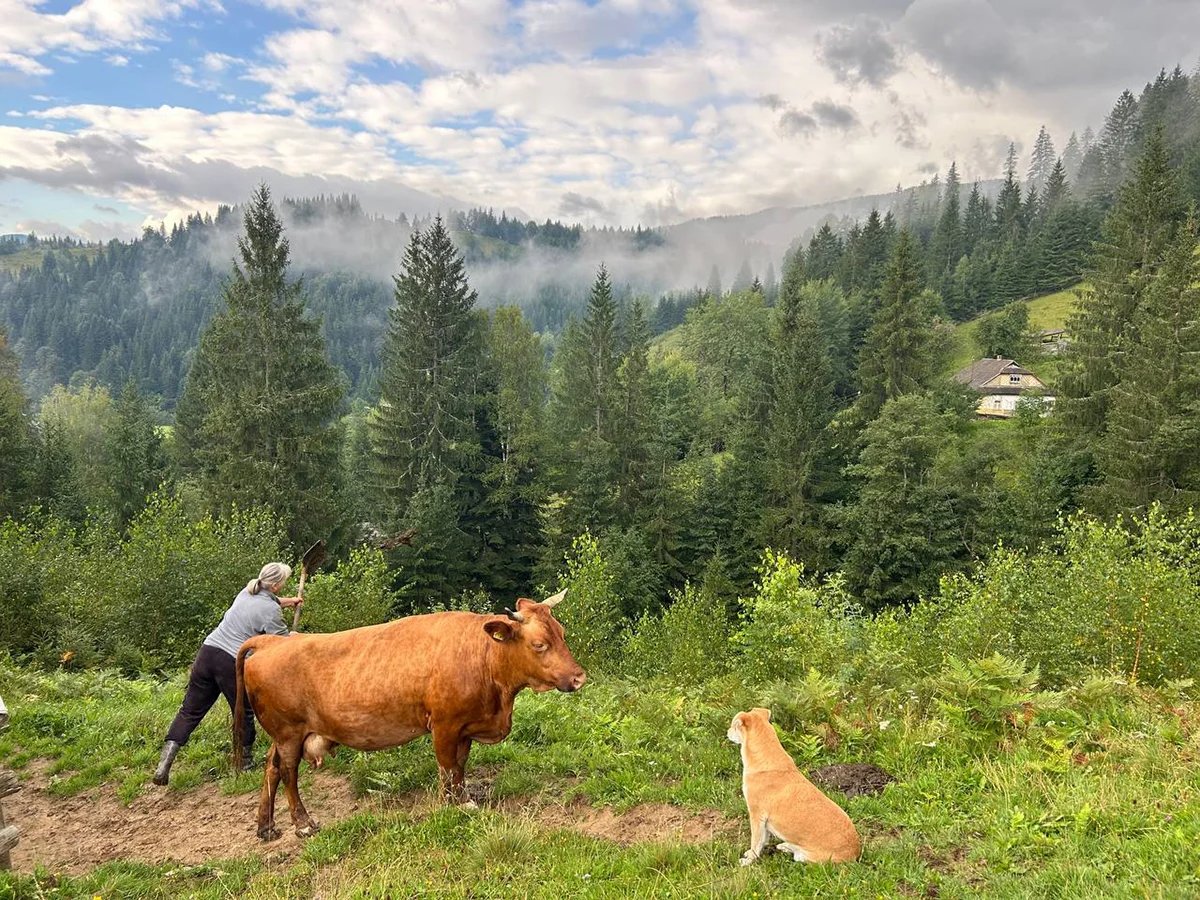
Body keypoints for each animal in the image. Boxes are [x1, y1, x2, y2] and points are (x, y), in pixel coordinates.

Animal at [233, 590, 585, 841]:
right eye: (539, 644)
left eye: (563, 633)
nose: (579, 677)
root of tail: (271, 642)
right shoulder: (444, 725)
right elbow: (448, 768)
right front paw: (455, 805)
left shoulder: (466, 726)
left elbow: (459, 767)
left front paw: (462, 798)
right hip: (289, 732)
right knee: (288, 772)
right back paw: (303, 824)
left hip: (282, 735)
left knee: (271, 768)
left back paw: (266, 826)